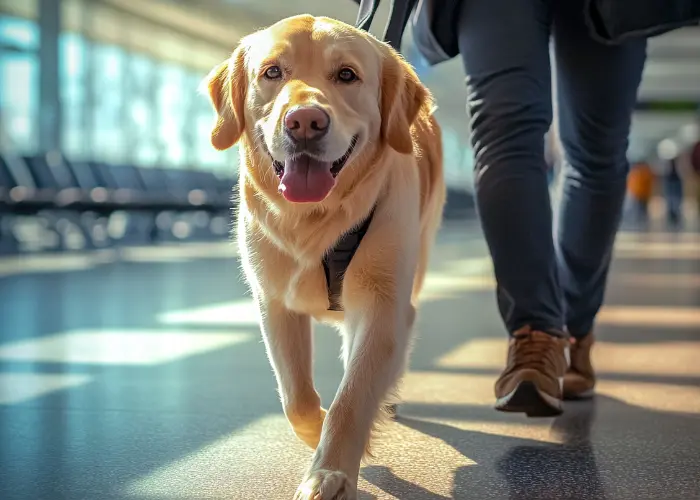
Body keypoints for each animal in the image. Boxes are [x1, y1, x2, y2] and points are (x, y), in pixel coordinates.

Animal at [204, 14, 442, 500]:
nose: (305, 122)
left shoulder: (384, 302)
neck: (315, 220)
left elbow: (352, 398)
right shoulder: (274, 302)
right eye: (273, 72)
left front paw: (330, 470)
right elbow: (296, 396)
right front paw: (317, 433)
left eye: (347, 75)